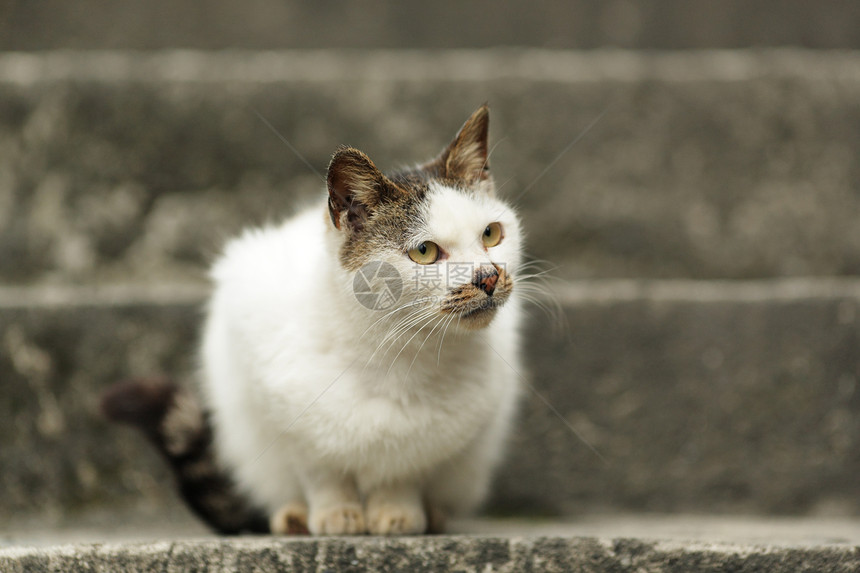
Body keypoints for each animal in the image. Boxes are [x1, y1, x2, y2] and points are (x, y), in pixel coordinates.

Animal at [106, 105, 524, 536]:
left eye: (491, 234)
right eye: (424, 252)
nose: (488, 277)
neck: (396, 353)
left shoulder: (429, 442)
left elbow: (401, 470)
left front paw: (397, 513)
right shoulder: (286, 415)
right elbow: (321, 471)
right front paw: (336, 515)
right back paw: (293, 516)